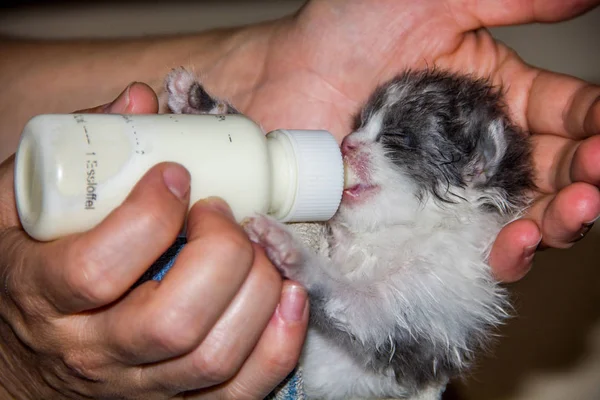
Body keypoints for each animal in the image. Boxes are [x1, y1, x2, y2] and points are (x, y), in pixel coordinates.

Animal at [164, 68, 536, 400]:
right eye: (359, 125)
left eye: (396, 138)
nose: (345, 144)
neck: (394, 234)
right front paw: (198, 104)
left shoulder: (432, 308)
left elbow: (359, 304)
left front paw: (289, 249)